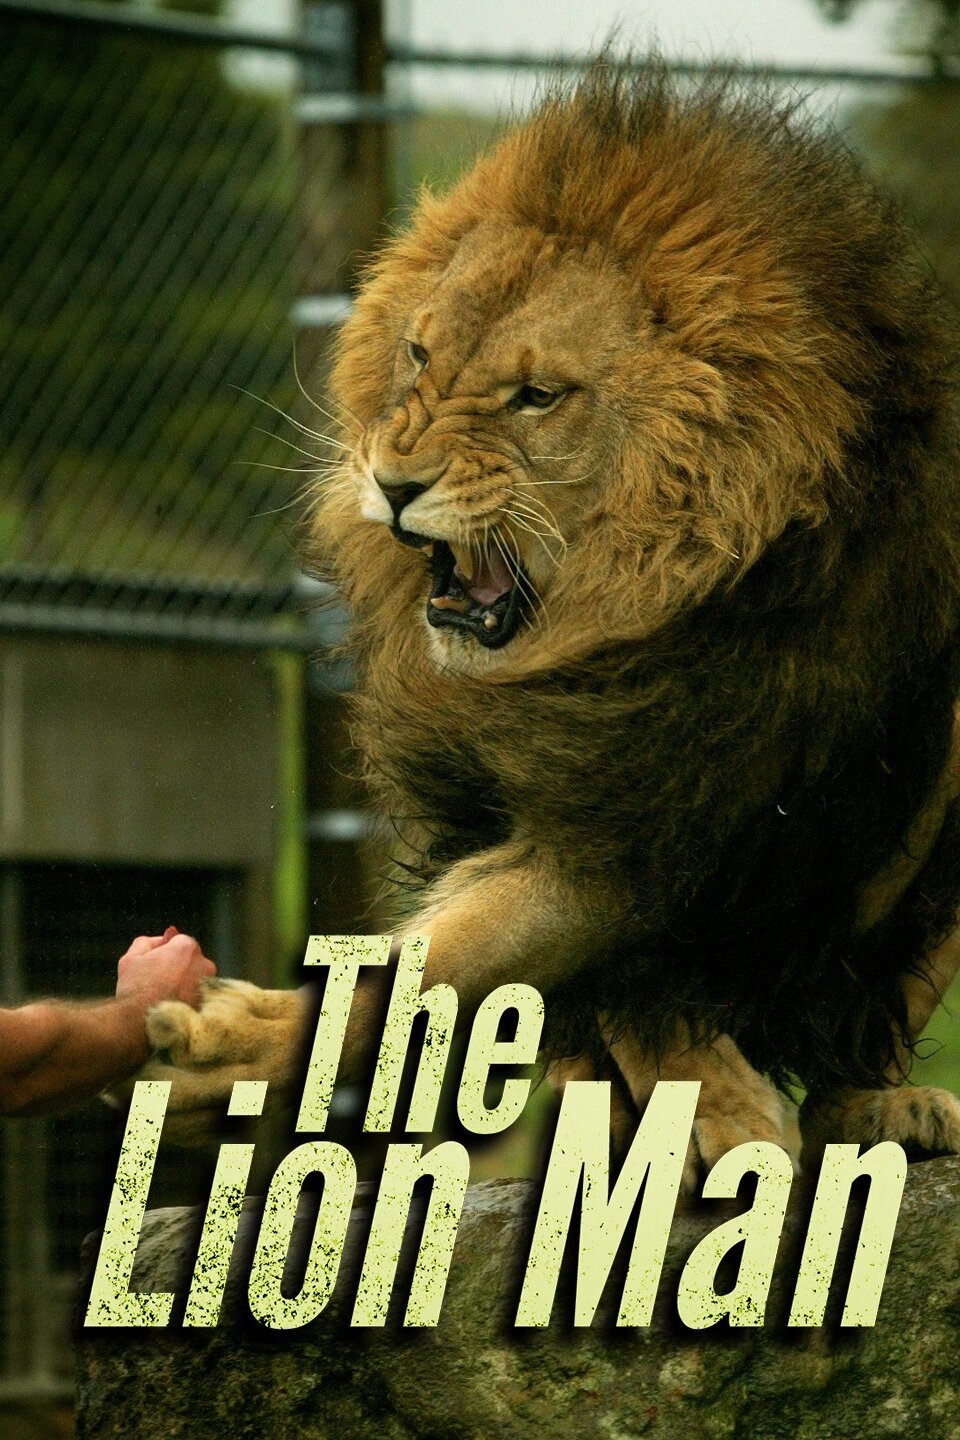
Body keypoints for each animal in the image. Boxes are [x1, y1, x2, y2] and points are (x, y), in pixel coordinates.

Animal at [134, 63, 960, 1187]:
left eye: (535, 396)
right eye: (418, 356)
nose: (394, 483)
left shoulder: (672, 783)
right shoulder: (597, 798)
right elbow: (475, 967)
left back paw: (877, 1107)